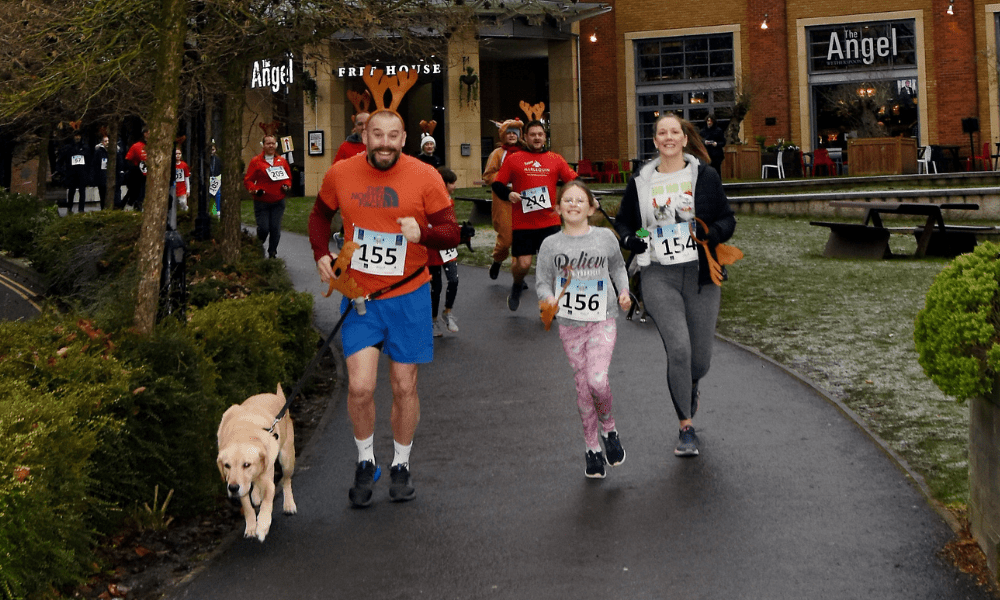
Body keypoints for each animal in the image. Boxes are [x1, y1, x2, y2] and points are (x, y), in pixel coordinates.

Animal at [217, 384, 294, 544]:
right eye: (227, 465)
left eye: (246, 464)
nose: (232, 488)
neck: (243, 432)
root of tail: (276, 396)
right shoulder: (239, 485)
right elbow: (247, 505)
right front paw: (252, 526)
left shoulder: (268, 478)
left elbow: (269, 497)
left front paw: (263, 525)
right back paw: (256, 495)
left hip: (287, 460)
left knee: (286, 480)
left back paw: (289, 504)